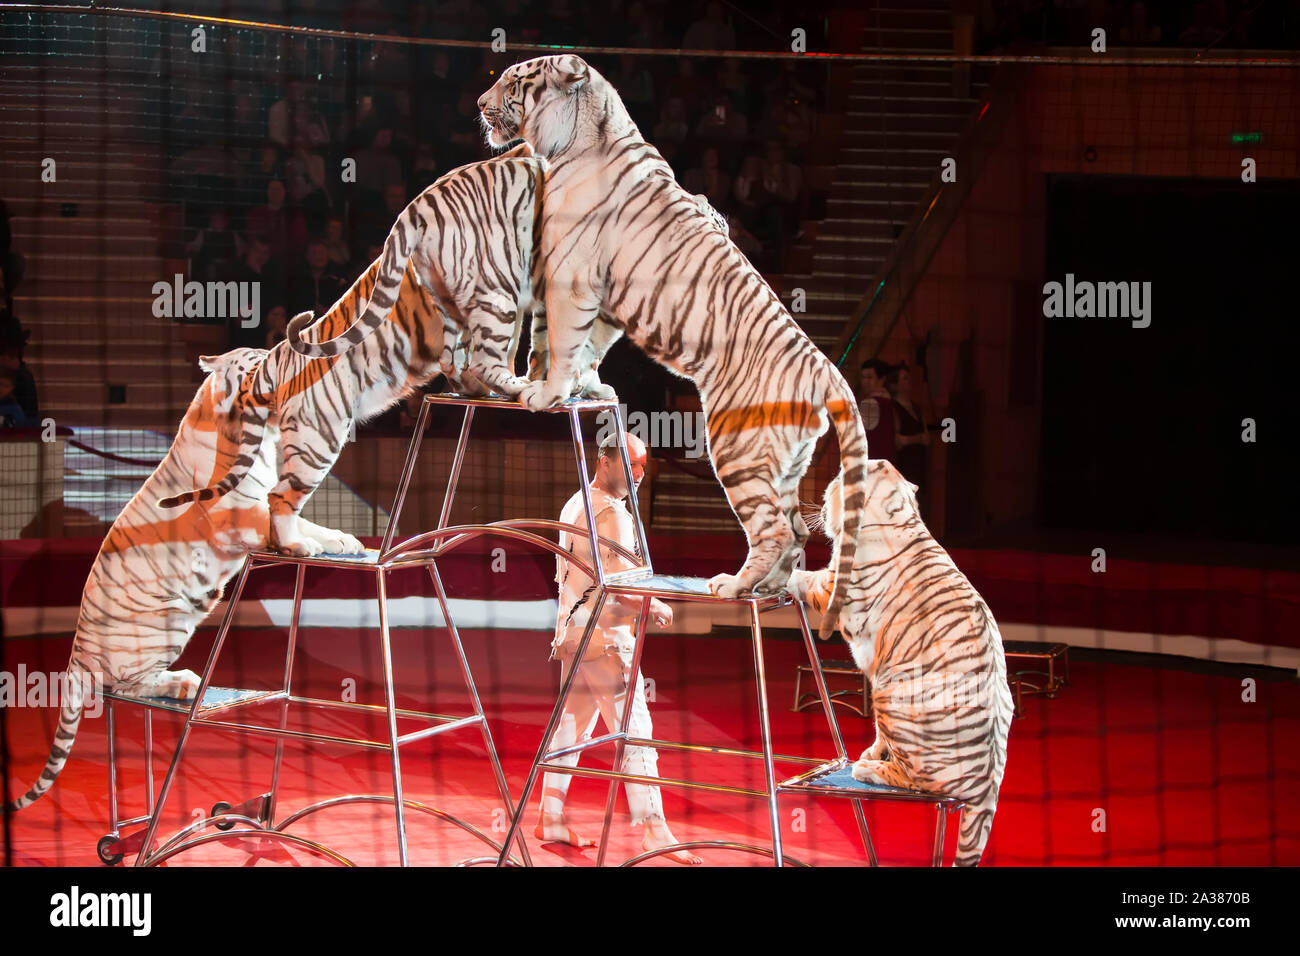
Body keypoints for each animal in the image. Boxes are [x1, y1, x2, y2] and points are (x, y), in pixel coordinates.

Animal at [475, 55, 863, 632]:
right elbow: (591, 346)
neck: (579, 138)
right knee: (795, 531)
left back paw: (735, 586)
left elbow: (565, 341)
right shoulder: (606, 295)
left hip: (737, 448)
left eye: (514, 80)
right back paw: (770, 589)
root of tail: (825, 369)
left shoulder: (571, 274)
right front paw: (589, 387)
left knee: (775, 528)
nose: (479, 103)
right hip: (787, 461)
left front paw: (545, 391)